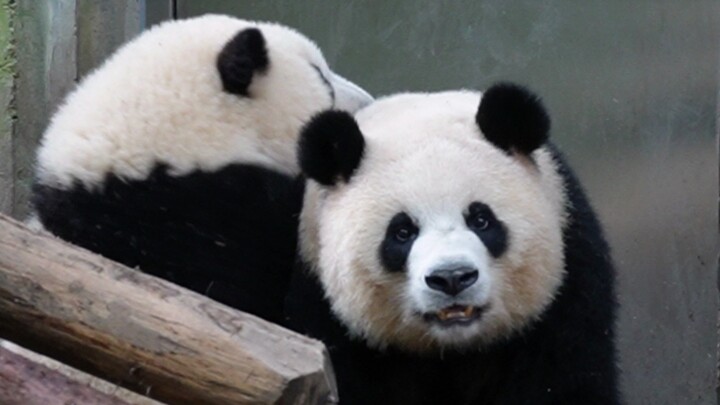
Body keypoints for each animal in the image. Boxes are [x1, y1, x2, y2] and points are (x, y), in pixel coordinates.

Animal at [286, 83, 620, 404]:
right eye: (402, 232)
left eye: (481, 220)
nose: (452, 277)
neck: (452, 350)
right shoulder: (322, 307)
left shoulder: (569, 289)